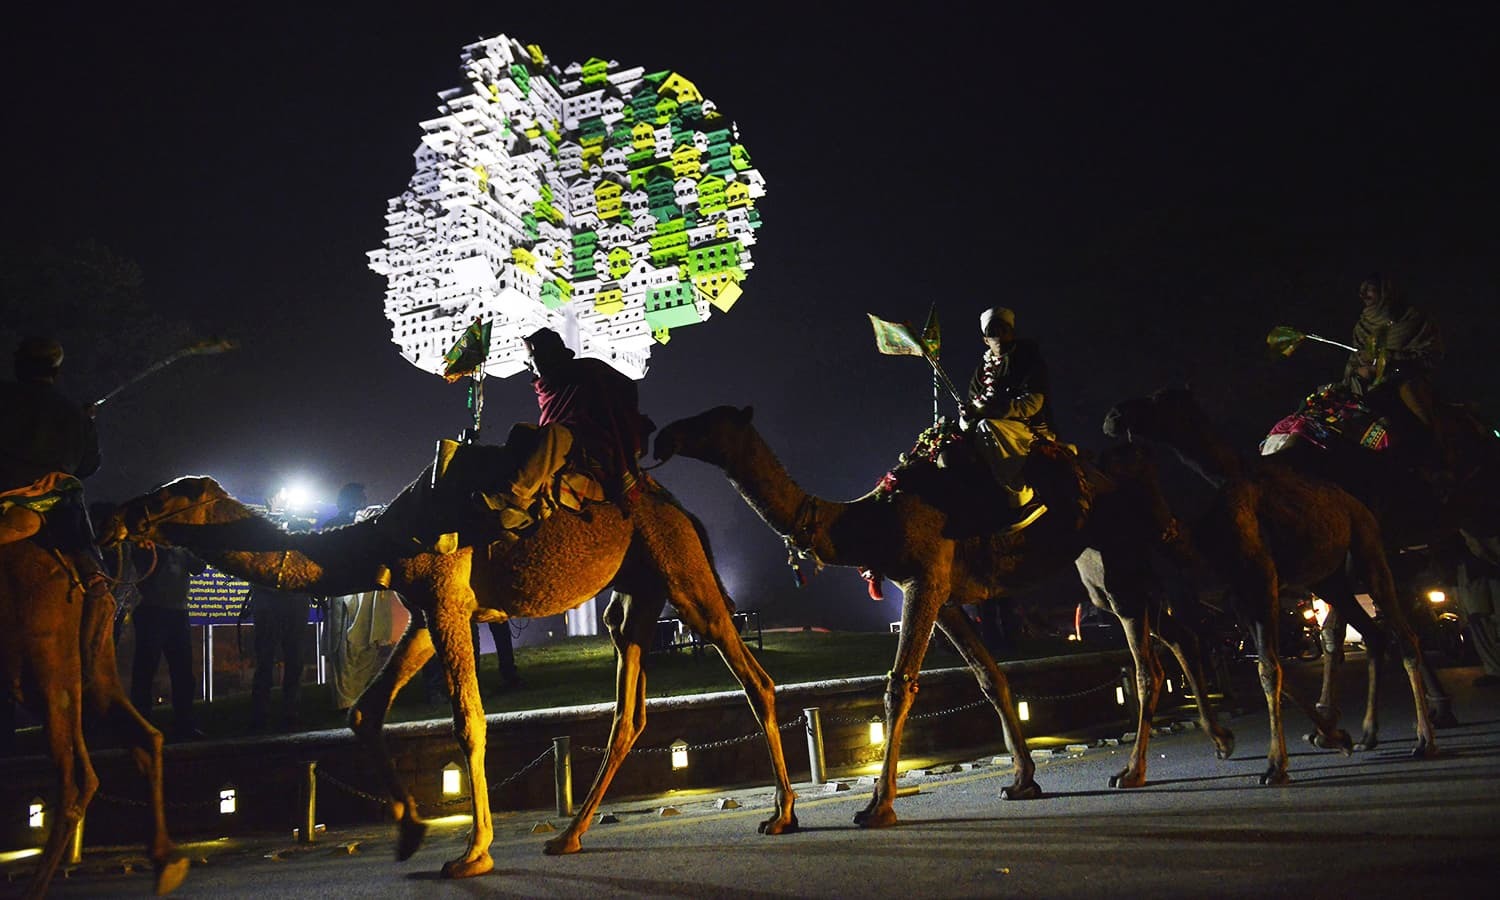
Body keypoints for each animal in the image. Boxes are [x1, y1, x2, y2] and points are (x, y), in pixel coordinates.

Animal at [0, 537, 187, 894]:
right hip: (94, 671)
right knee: (146, 736)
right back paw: (165, 861)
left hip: (46, 670)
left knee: (77, 777)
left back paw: (35, 888)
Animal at [102, 471, 798, 876]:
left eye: (174, 495)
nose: (117, 515)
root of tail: (680, 510)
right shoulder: (422, 610)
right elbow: (365, 710)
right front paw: (410, 832)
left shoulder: (446, 598)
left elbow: (468, 720)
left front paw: (472, 851)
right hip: (634, 597)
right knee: (628, 710)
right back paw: (568, 835)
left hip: (679, 569)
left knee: (750, 673)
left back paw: (782, 815)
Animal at [654, 405, 1230, 822]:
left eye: (710, 420)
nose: (663, 436)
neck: (872, 519)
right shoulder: (947, 597)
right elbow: (989, 676)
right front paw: (1022, 781)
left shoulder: (924, 580)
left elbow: (899, 684)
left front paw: (877, 805)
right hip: (1097, 569)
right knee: (1174, 630)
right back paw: (1219, 739)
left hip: (1119, 553)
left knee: (1148, 662)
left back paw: (1133, 772)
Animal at [1110, 387, 1434, 780]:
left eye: (1160, 400)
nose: (1114, 416)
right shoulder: (1242, 597)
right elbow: (1273, 665)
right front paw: (1332, 736)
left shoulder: (1264, 582)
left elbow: (1270, 666)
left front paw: (1278, 763)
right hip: (1330, 580)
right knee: (1374, 635)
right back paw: (1369, 733)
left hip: (1369, 549)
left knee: (1404, 634)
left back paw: (1425, 739)